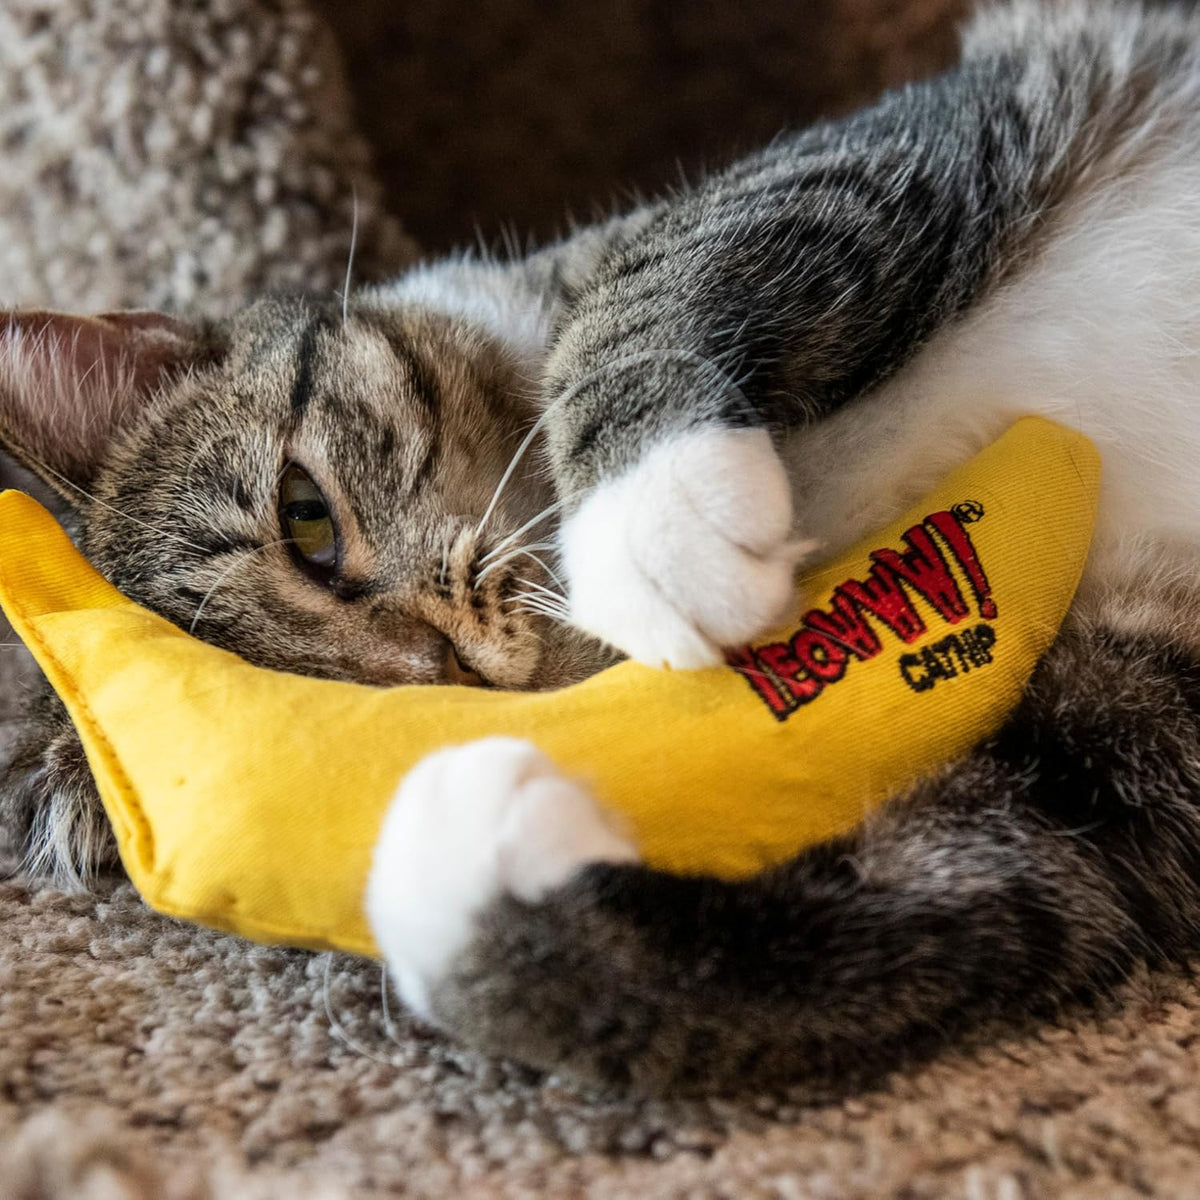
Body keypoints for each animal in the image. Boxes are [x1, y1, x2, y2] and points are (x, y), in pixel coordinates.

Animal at [2, 0, 1200, 1099]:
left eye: (306, 519)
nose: (437, 672)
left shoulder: (968, 113)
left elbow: (665, 267)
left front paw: (655, 520)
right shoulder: (1133, 732)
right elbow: (984, 880)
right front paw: (471, 882)